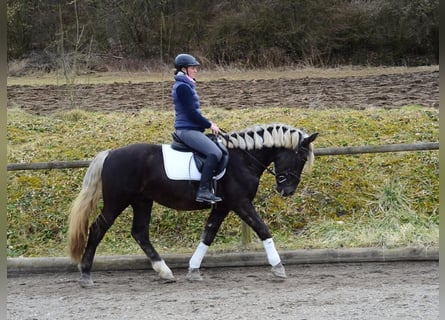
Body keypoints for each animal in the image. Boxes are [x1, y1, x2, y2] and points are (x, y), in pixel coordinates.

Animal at [67, 124, 318, 286]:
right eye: (300, 157)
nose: (287, 191)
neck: (244, 159)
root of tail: (109, 154)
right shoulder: (240, 202)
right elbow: (262, 229)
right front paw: (278, 267)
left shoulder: (223, 206)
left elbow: (208, 234)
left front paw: (193, 270)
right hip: (117, 201)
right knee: (97, 229)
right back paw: (86, 274)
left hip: (142, 201)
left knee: (140, 233)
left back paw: (165, 272)